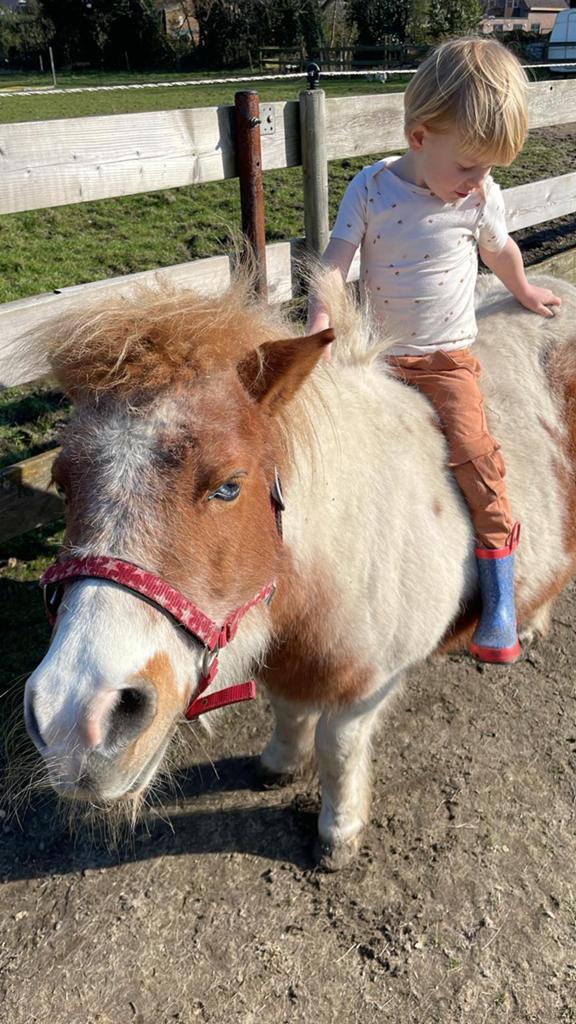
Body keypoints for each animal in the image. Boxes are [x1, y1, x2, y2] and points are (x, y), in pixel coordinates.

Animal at [22, 271, 576, 869]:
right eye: (62, 484)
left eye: (228, 487)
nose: (75, 719)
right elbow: (288, 711)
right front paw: (280, 764)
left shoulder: (369, 684)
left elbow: (339, 749)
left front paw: (339, 832)